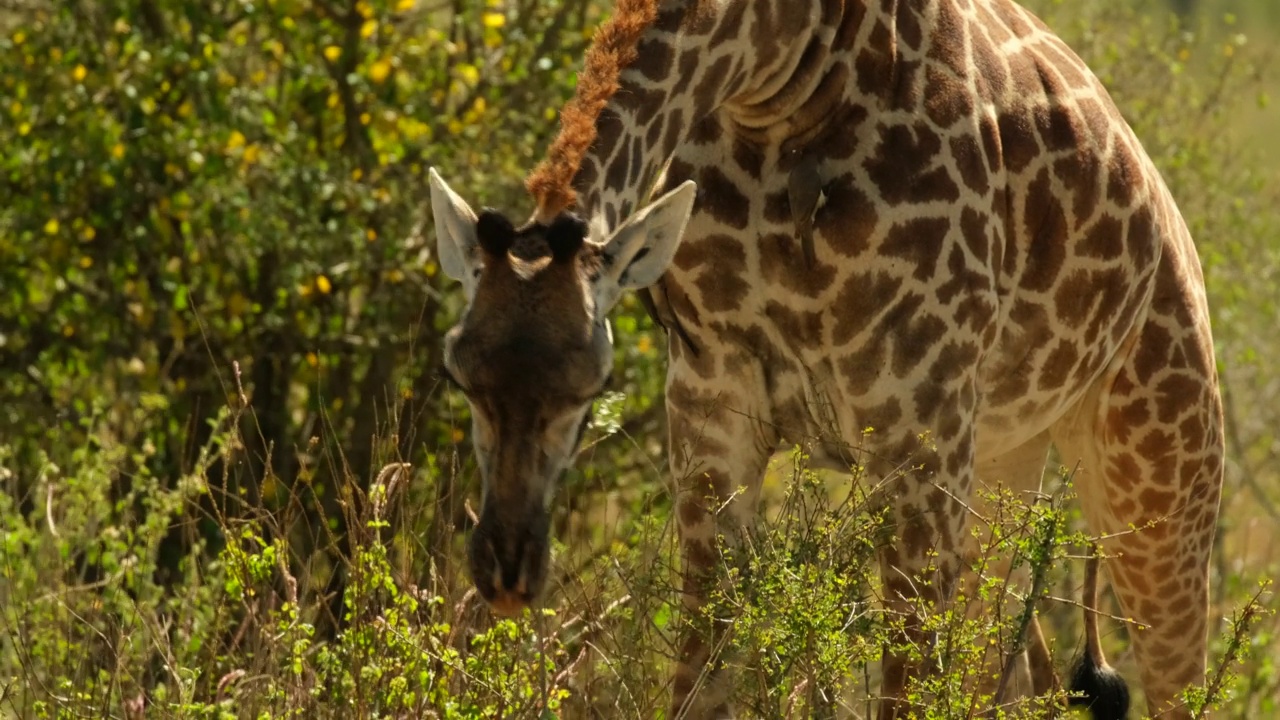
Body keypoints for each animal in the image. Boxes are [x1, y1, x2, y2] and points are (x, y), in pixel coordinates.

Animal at [424, 0, 1223, 712]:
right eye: (458, 372)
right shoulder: (712, 392)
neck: (779, 78)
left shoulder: (918, 417)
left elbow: (906, 681)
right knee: (1005, 668)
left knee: (1177, 681)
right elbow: (703, 666)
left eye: (592, 387)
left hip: (1161, 465)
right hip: (1009, 458)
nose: (505, 572)